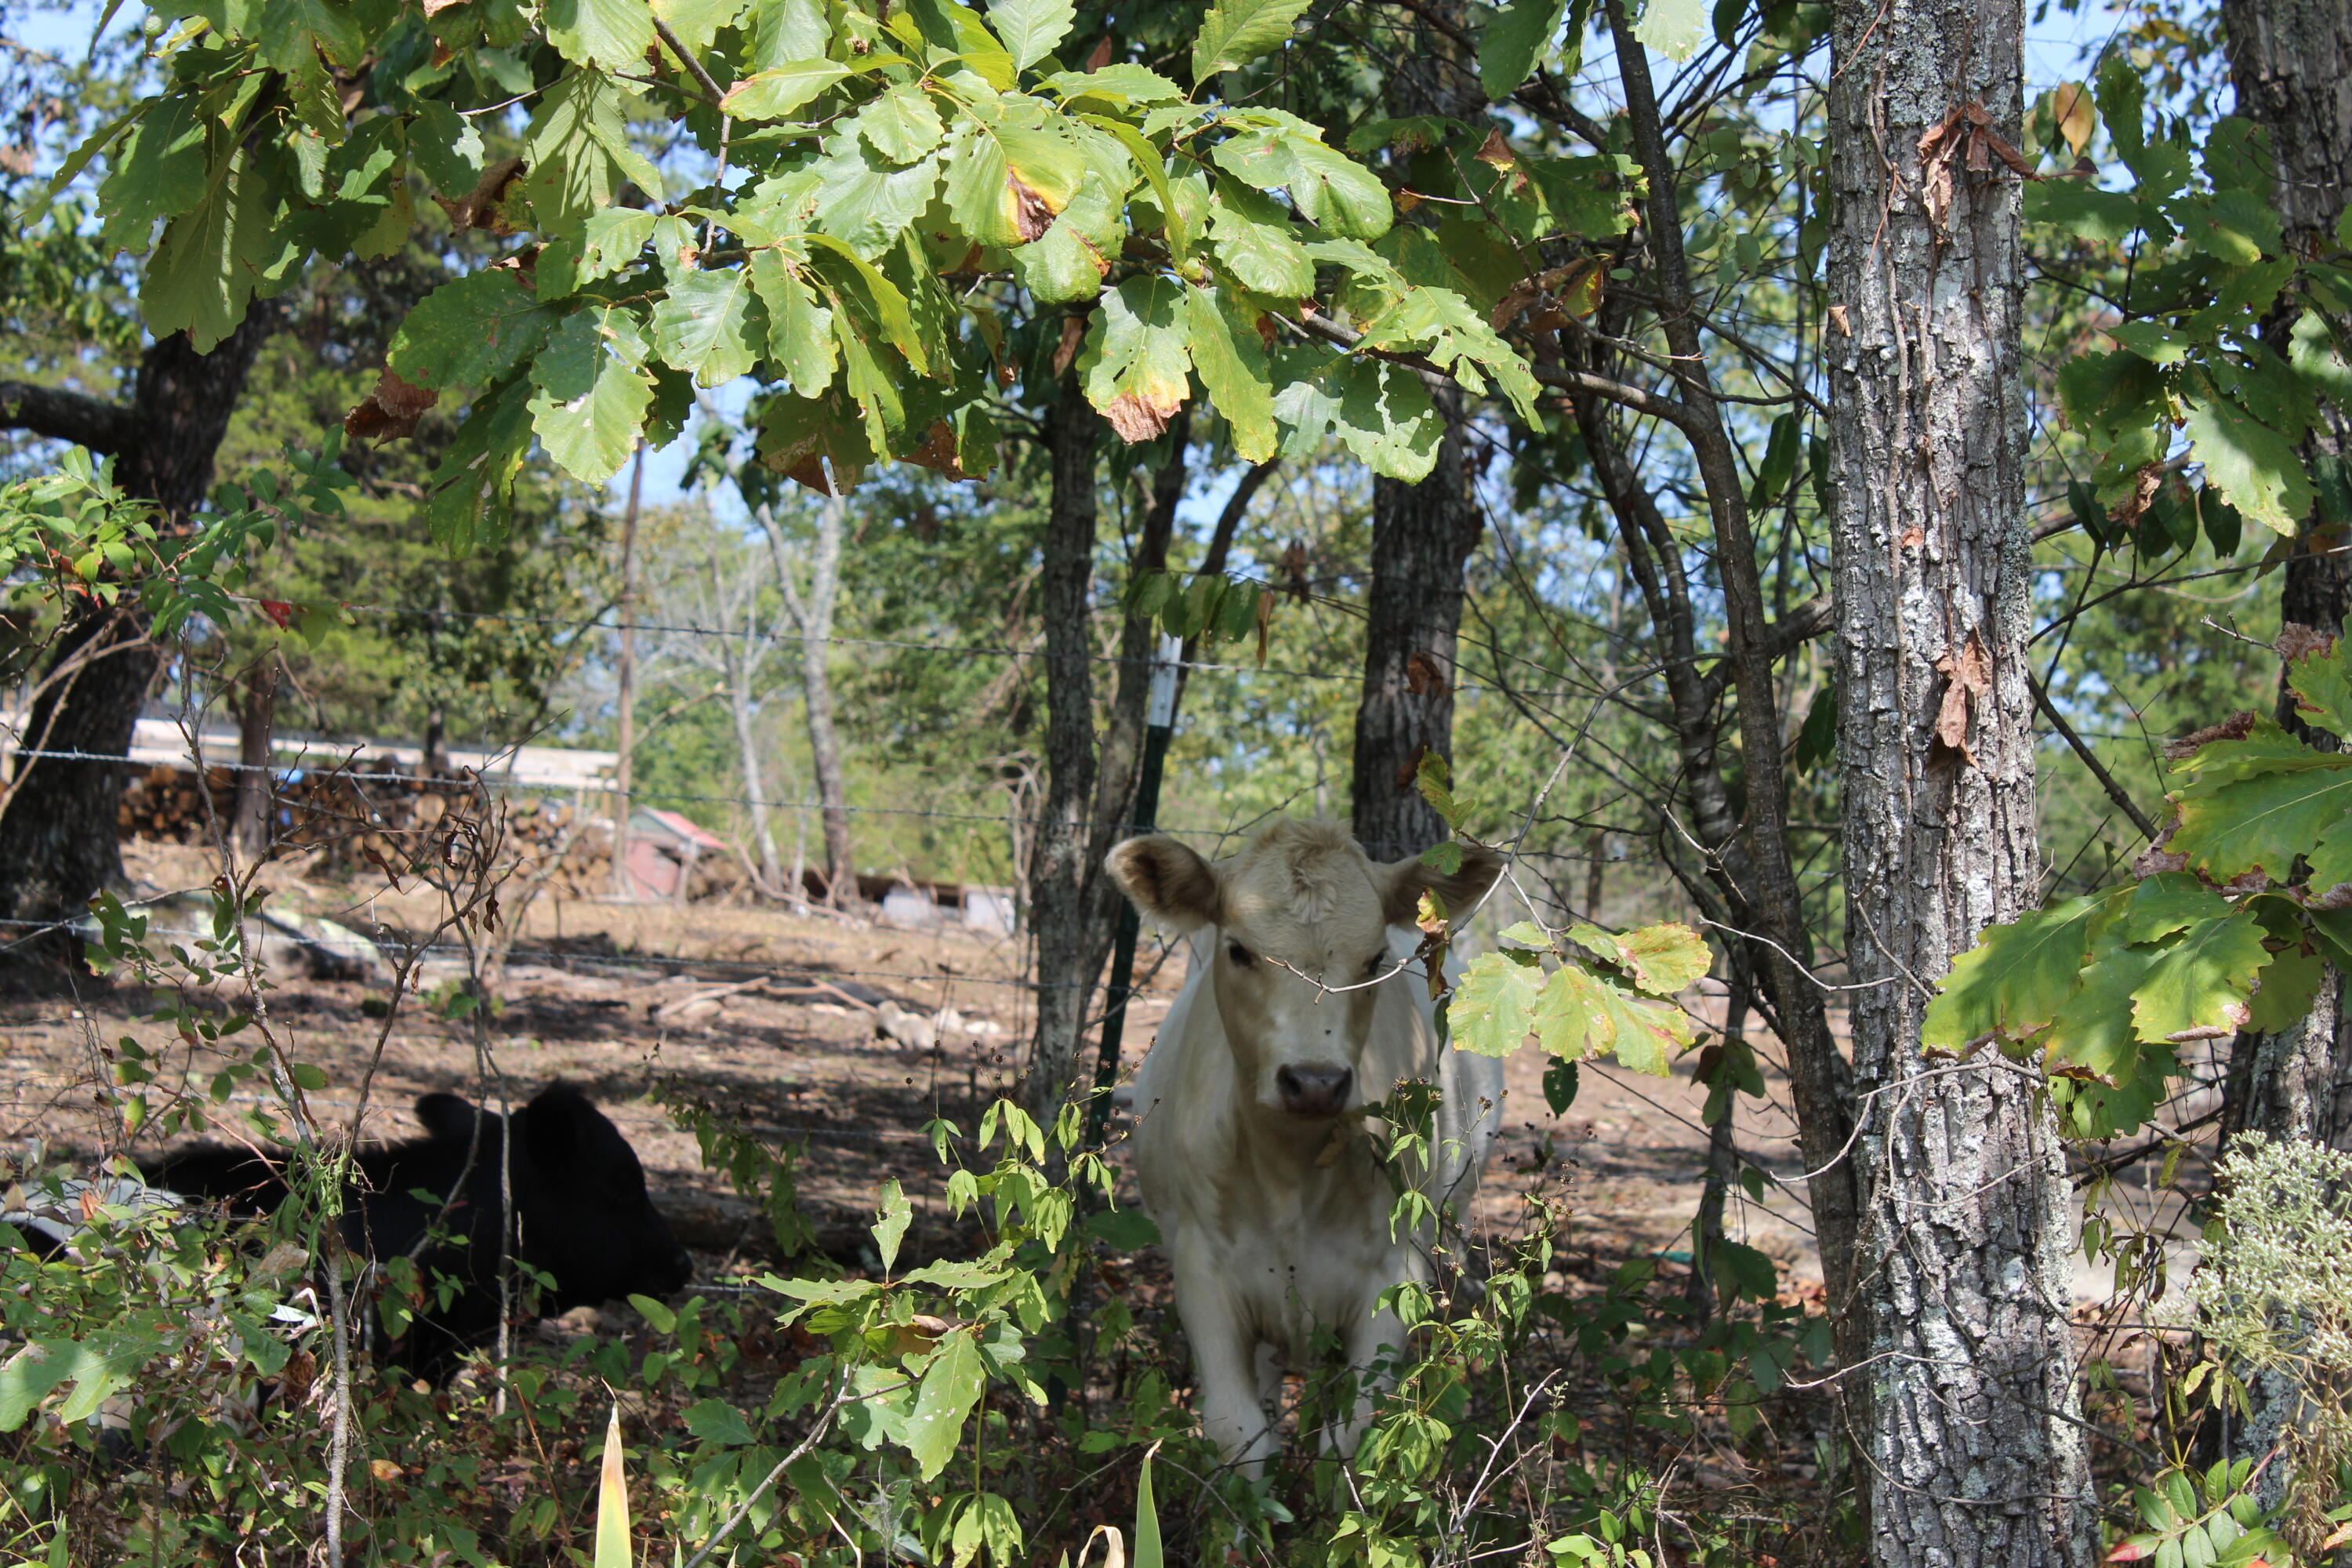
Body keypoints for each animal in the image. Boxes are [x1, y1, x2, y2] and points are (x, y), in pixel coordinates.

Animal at [1105, 822, 1505, 1476]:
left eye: (1374, 960)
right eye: (1239, 950)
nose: (1315, 1081)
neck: (1289, 1172)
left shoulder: (1393, 1273)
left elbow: (1354, 1435)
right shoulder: (1202, 1273)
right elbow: (1237, 1431)